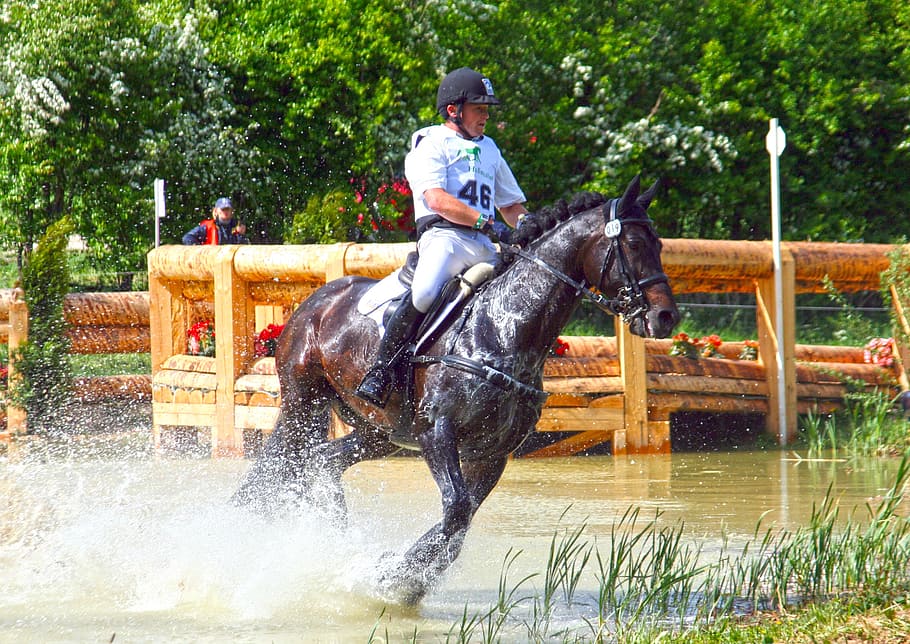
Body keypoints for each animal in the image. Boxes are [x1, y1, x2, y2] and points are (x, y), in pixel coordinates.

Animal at [232, 175, 680, 604]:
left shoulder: (492, 452)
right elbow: (456, 511)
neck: (504, 328)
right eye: (634, 244)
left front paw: (403, 577)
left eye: (659, 244)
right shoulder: (438, 432)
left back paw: (338, 545)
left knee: (322, 461)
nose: (665, 318)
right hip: (303, 405)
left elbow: (458, 525)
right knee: (277, 465)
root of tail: (315, 301)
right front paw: (393, 576)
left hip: (381, 432)